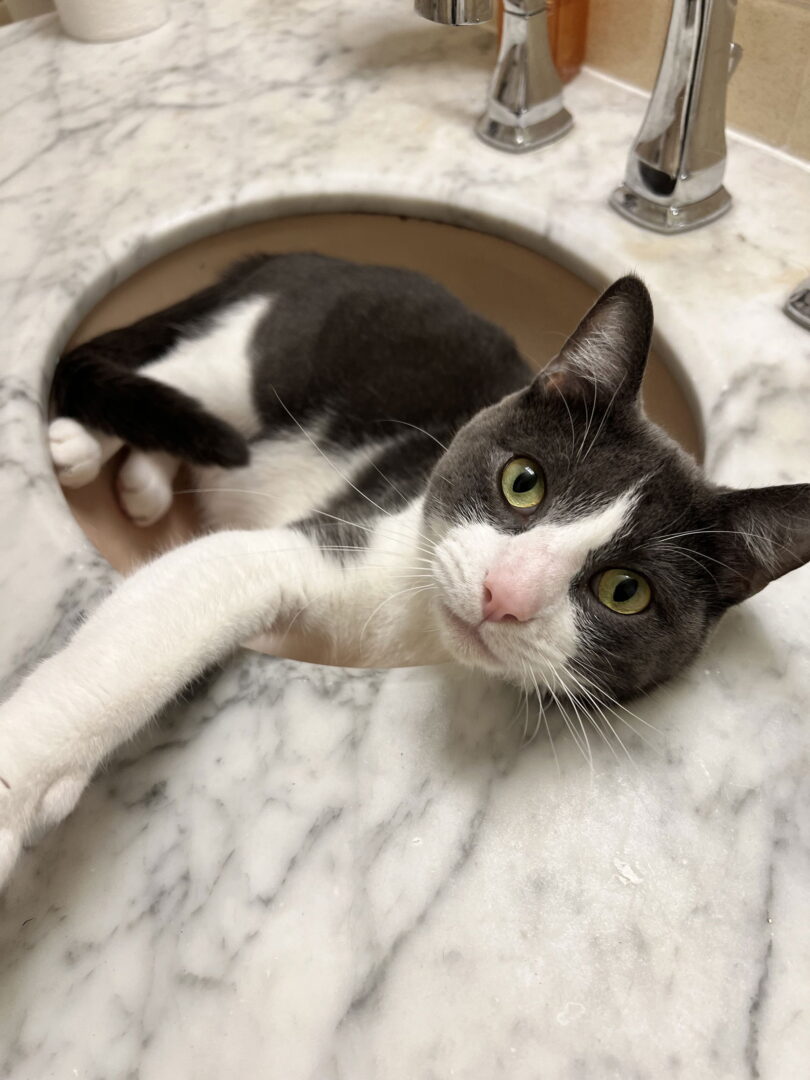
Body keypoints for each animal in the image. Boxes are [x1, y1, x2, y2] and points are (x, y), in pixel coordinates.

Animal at [1, 253, 808, 889]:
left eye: (626, 591)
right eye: (524, 482)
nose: (504, 594)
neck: (412, 631)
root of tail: (310, 254)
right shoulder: (321, 542)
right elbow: (146, 634)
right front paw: (18, 782)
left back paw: (143, 479)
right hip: (266, 351)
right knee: (178, 374)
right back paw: (82, 442)